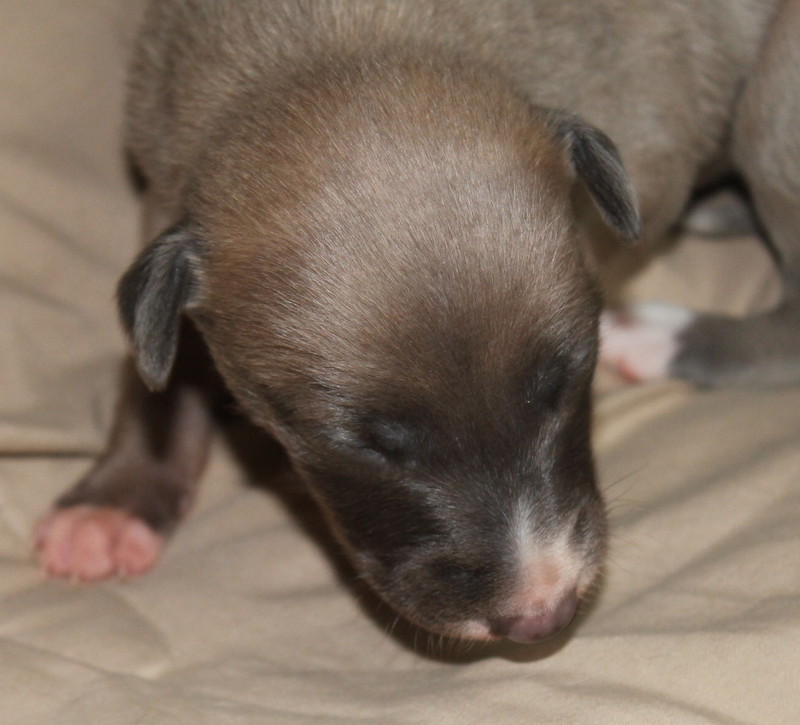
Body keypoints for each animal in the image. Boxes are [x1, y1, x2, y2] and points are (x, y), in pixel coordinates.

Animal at [34, 0, 798, 644]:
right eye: (368, 447)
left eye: (567, 380)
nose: (542, 615)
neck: (343, 40)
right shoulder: (166, 187)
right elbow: (158, 366)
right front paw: (116, 501)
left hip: (774, 100)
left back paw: (666, 333)